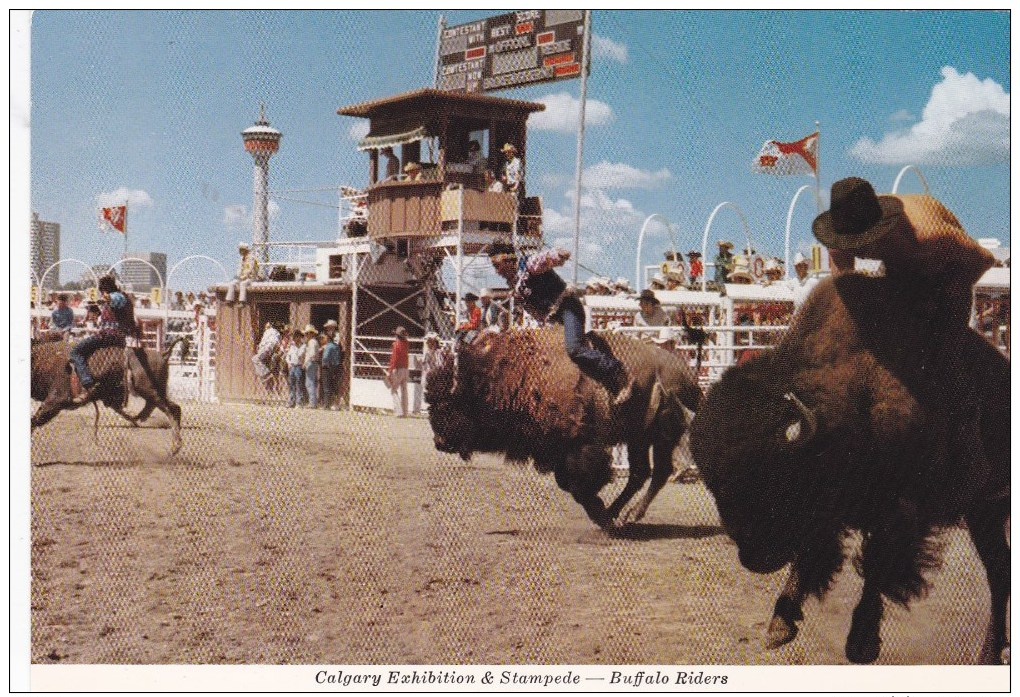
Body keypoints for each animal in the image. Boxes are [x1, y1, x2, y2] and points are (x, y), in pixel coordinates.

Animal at [422, 326, 701, 530]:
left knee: (658, 472)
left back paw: (629, 515)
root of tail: (688, 374)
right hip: (639, 438)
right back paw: (618, 514)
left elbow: (579, 484)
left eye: (447, 405)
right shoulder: (555, 450)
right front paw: (602, 514)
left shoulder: (580, 445)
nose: (439, 442)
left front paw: (599, 513)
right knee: (641, 473)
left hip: (660, 436)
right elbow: (567, 483)